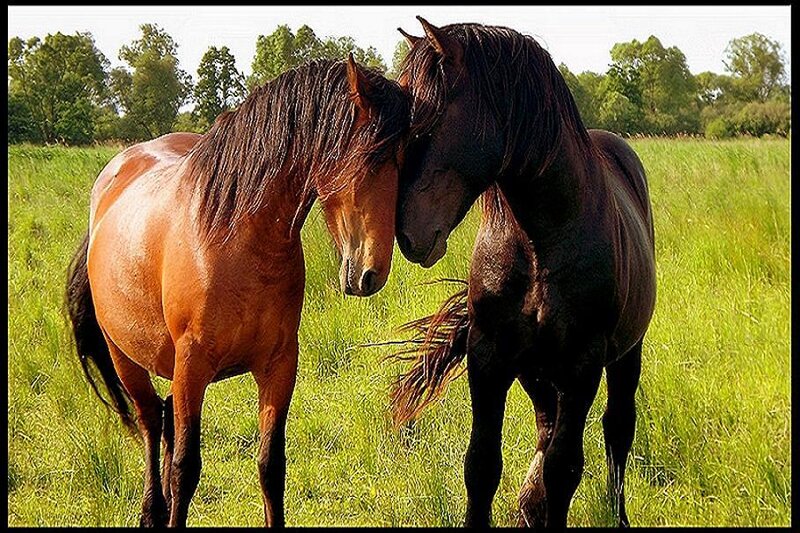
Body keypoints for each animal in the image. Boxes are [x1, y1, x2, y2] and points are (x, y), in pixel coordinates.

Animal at [65, 55, 408, 527]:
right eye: (368, 157)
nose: (372, 273)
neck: (236, 240)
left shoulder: (279, 364)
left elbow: (271, 465)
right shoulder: (192, 366)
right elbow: (186, 468)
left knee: (164, 417)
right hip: (125, 357)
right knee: (151, 420)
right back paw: (153, 509)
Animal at [389, 18, 656, 527]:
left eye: (430, 117)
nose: (406, 232)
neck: (538, 243)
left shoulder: (582, 366)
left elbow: (564, 469)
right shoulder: (489, 358)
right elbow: (481, 465)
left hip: (624, 356)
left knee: (617, 431)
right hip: (536, 372)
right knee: (547, 428)